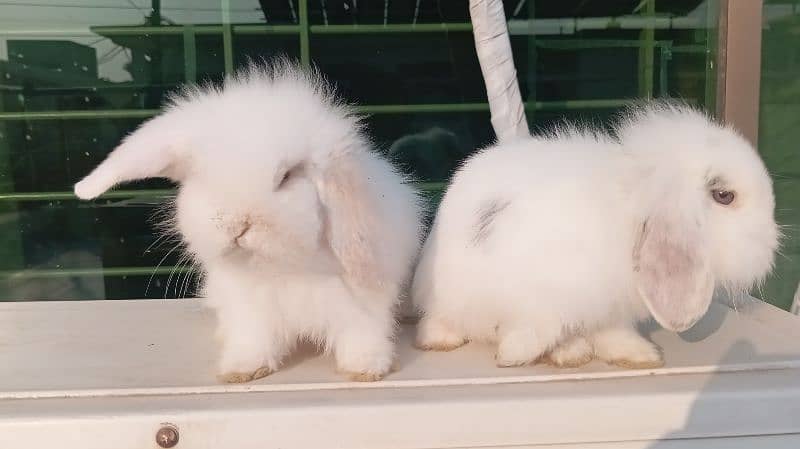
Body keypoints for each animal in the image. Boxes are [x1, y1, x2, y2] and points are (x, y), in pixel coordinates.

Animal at [75, 58, 424, 382]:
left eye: (285, 177)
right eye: (203, 175)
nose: (238, 226)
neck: (285, 267)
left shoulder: (363, 301)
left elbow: (362, 332)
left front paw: (366, 368)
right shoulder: (249, 307)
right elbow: (253, 338)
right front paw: (242, 369)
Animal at [416, 103, 780, 370]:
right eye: (724, 196)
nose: (770, 245)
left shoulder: (609, 308)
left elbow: (611, 331)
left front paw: (638, 355)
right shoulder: (546, 298)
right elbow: (539, 329)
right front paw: (512, 356)